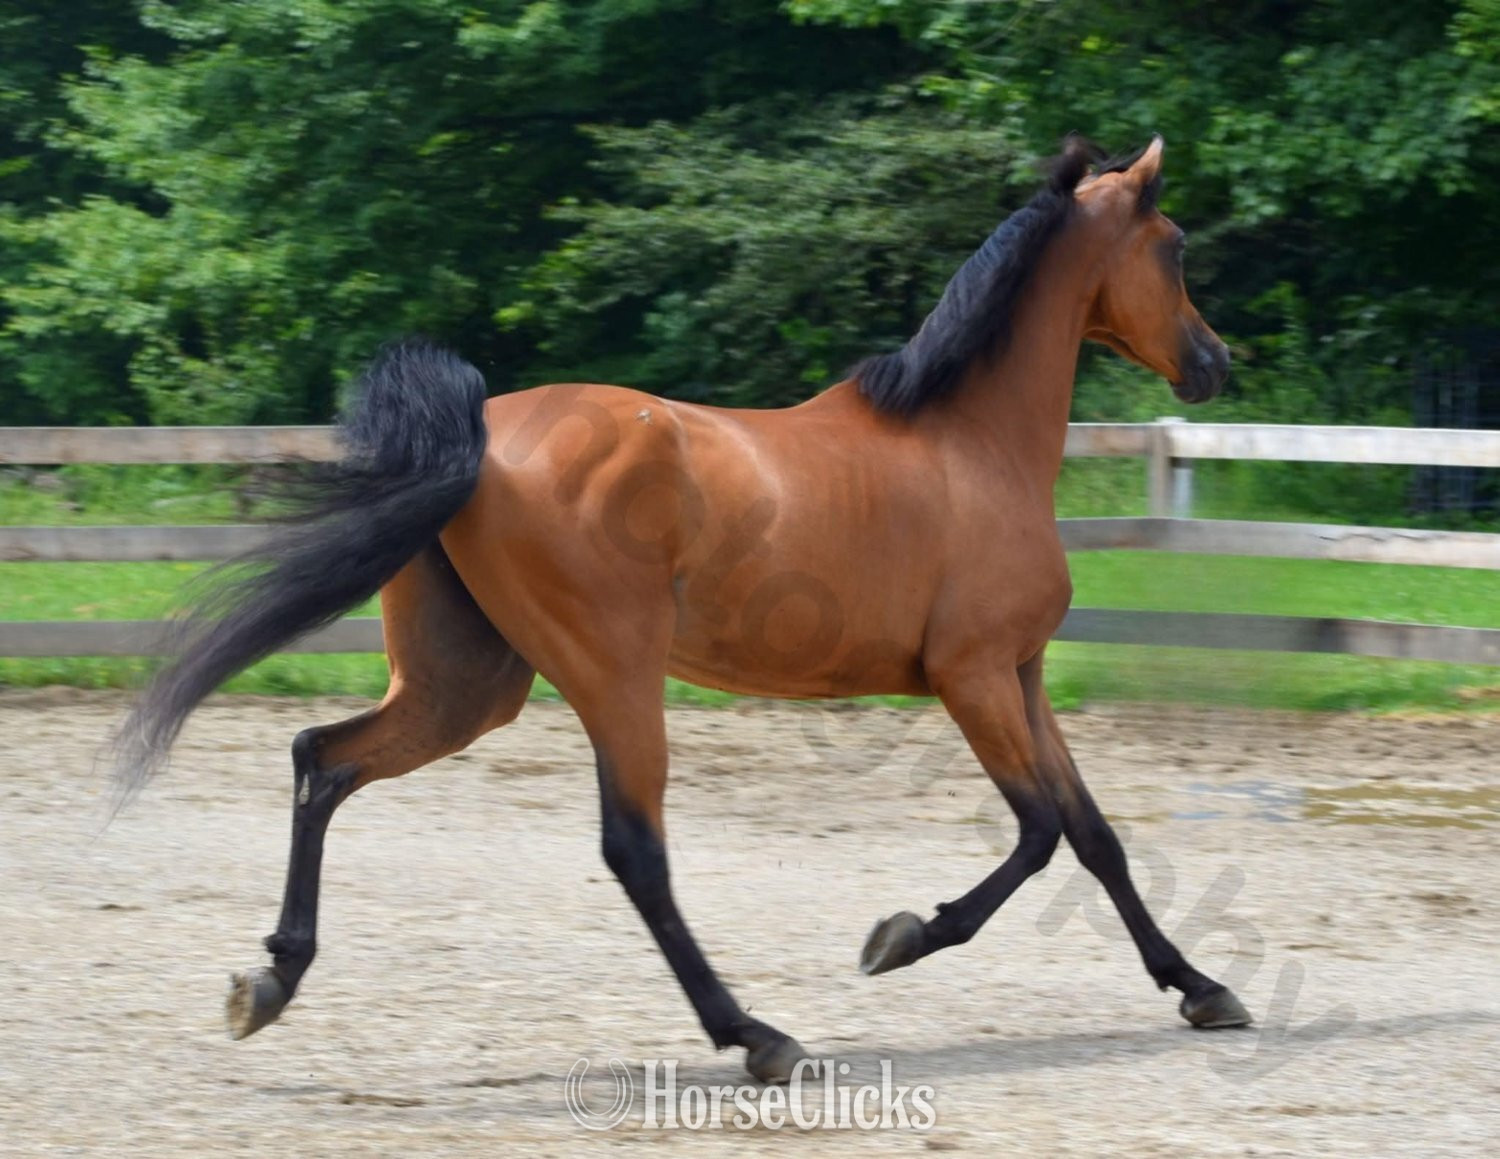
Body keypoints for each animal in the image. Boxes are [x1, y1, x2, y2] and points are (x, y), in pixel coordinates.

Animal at [112, 135, 1244, 1084]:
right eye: (1176, 246)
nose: (1218, 362)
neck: (971, 443)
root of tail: (479, 432)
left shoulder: (1022, 673)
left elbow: (1097, 836)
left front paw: (1201, 988)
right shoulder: (969, 676)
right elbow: (1040, 831)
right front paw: (899, 937)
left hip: (466, 686)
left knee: (324, 758)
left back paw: (269, 979)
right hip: (611, 675)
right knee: (634, 850)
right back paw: (759, 1035)